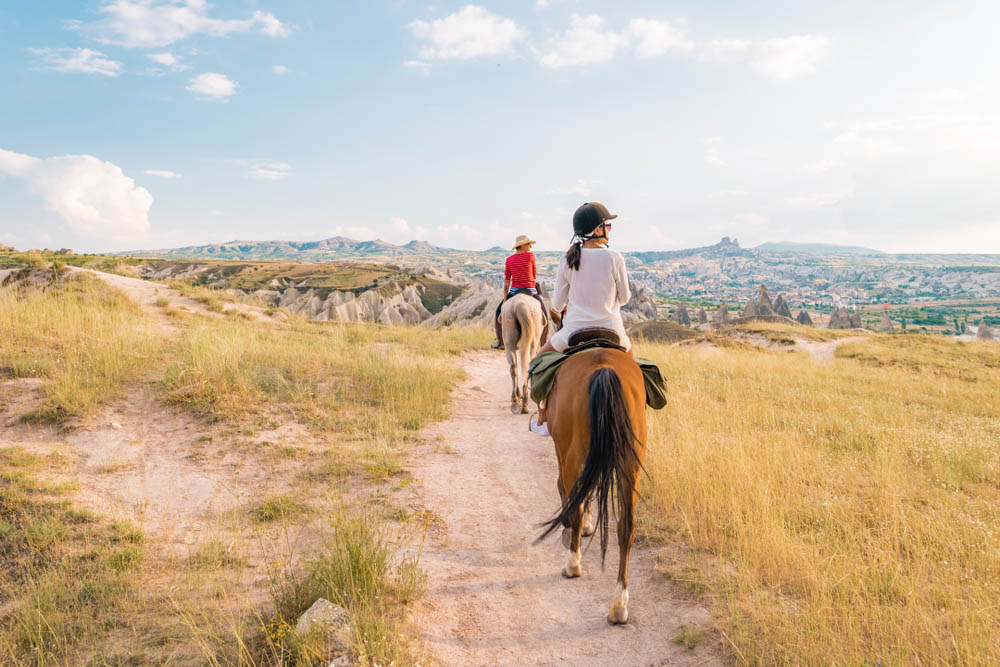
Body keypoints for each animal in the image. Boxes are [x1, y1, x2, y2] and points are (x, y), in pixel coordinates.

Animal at [540, 344, 648, 628]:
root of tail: (604, 370)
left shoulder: (562, 452)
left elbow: (568, 490)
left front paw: (578, 527)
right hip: (631, 465)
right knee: (626, 527)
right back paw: (619, 606)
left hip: (573, 452)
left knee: (575, 503)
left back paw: (573, 565)